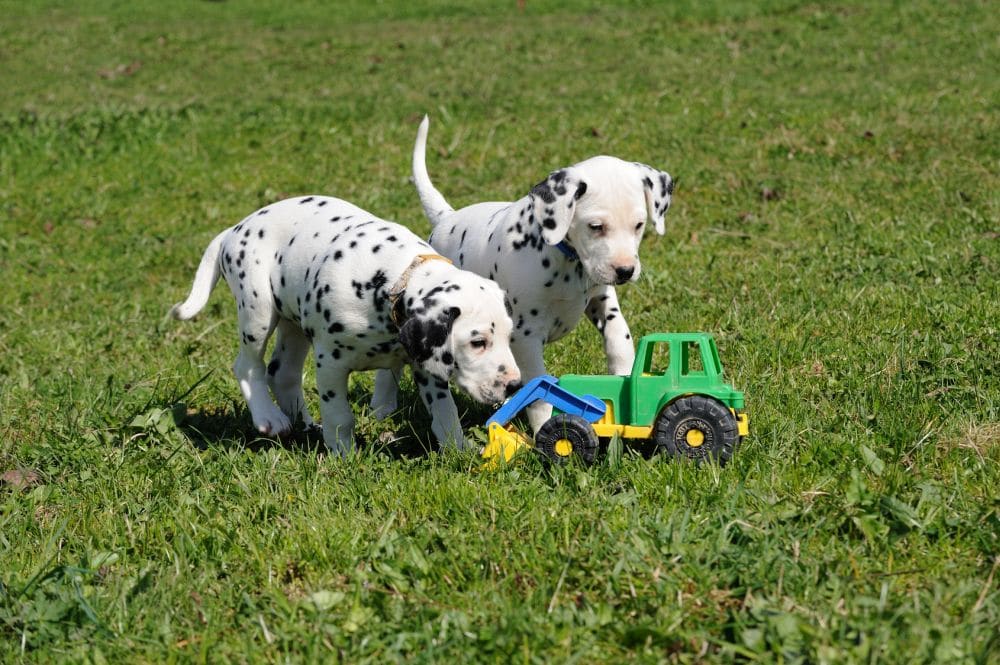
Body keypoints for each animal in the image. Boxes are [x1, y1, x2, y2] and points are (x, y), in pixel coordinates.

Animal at [170, 195, 524, 454]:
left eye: (509, 337)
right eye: (477, 342)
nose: (514, 386)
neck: (390, 283)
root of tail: (235, 228)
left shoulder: (426, 365)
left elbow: (445, 412)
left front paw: (458, 449)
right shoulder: (330, 365)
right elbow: (340, 416)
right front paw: (344, 455)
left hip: (293, 325)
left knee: (282, 372)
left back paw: (304, 424)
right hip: (258, 308)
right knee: (248, 366)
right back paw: (269, 416)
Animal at [398, 116, 672, 434]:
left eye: (639, 225)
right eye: (596, 227)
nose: (625, 271)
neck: (565, 261)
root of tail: (446, 218)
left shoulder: (601, 298)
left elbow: (619, 337)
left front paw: (624, 377)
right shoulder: (526, 337)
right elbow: (540, 393)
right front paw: (546, 431)